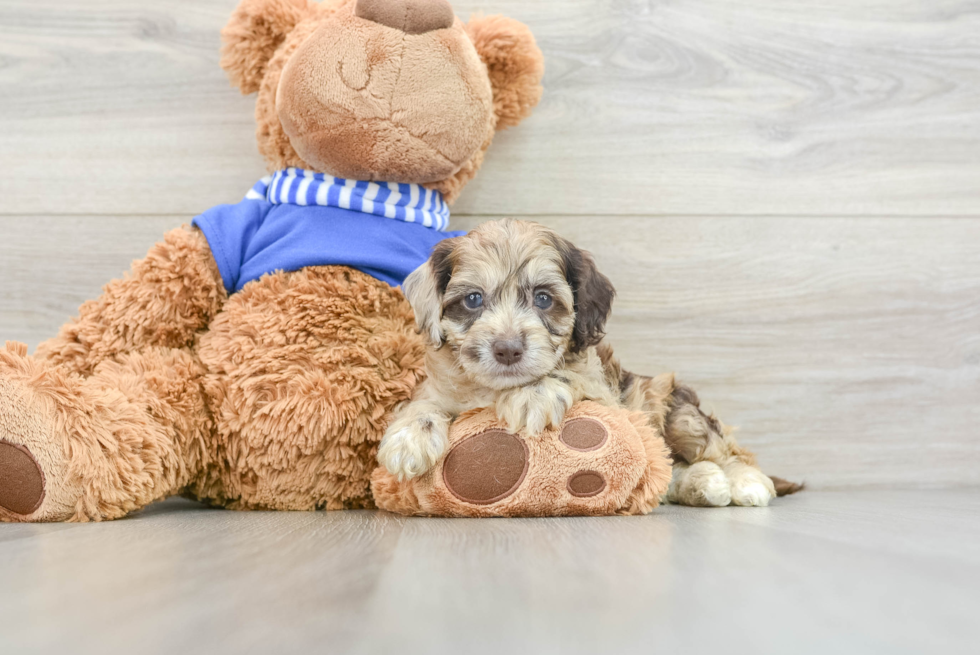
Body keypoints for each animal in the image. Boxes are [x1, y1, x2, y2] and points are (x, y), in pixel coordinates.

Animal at [378, 220, 800, 508]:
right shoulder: (442, 387)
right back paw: (702, 484)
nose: (508, 349)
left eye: (544, 299)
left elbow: (566, 375)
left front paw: (533, 395)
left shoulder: (608, 397)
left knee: (726, 452)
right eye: (473, 300)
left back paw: (744, 483)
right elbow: (425, 404)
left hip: (679, 412)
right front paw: (408, 439)